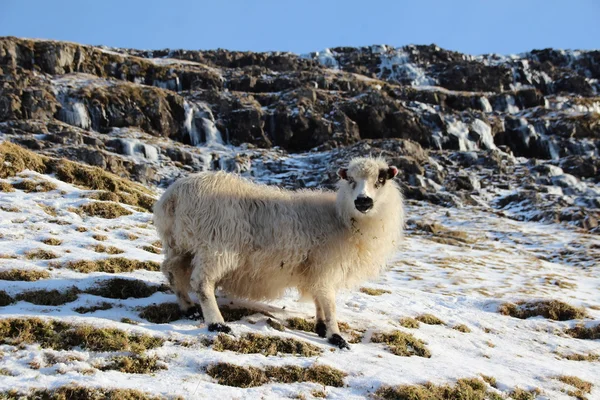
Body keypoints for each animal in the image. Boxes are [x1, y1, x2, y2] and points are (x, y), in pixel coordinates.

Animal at [152, 158, 406, 348]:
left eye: (381, 179)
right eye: (350, 180)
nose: (363, 201)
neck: (341, 218)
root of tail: (174, 195)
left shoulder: (315, 267)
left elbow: (318, 297)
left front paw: (321, 327)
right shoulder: (326, 265)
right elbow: (329, 302)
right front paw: (336, 336)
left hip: (180, 244)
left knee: (172, 270)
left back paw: (189, 308)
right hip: (215, 246)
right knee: (202, 283)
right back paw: (217, 323)